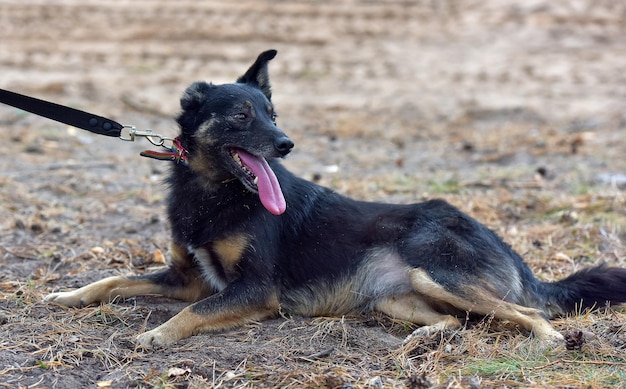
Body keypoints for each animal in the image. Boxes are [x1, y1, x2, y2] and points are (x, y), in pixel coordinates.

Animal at [45, 50, 624, 348]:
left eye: (272, 115)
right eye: (241, 115)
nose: (286, 144)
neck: (215, 193)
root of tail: (506, 247)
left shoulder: (253, 290)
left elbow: (195, 310)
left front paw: (157, 335)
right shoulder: (187, 277)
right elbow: (113, 280)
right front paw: (67, 297)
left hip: (437, 272)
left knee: (528, 313)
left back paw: (545, 340)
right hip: (394, 296)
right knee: (454, 321)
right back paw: (421, 343)